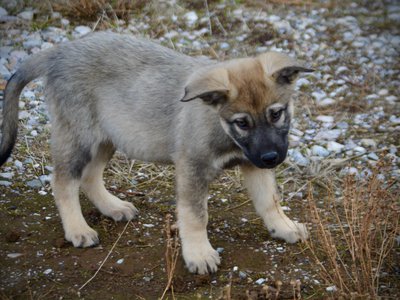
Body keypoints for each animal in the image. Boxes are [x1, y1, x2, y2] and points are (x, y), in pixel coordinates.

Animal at [0, 32, 312, 274]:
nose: (272, 158)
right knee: (63, 181)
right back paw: (78, 229)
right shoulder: (192, 167)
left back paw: (113, 207)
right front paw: (199, 254)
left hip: (109, 136)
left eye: (276, 114)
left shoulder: (253, 163)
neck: (221, 126)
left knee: (89, 177)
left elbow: (269, 200)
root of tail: (59, 52)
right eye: (242, 123)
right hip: (80, 136)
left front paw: (283, 227)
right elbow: (195, 215)